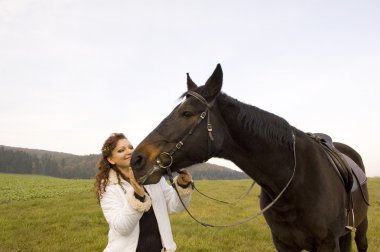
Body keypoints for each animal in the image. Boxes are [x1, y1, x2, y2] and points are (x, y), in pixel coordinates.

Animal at [131, 64, 368, 251]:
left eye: (187, 113)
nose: (137, 160)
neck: (295, 181)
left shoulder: (328, 243)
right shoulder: (283, 243)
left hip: (360, 226)